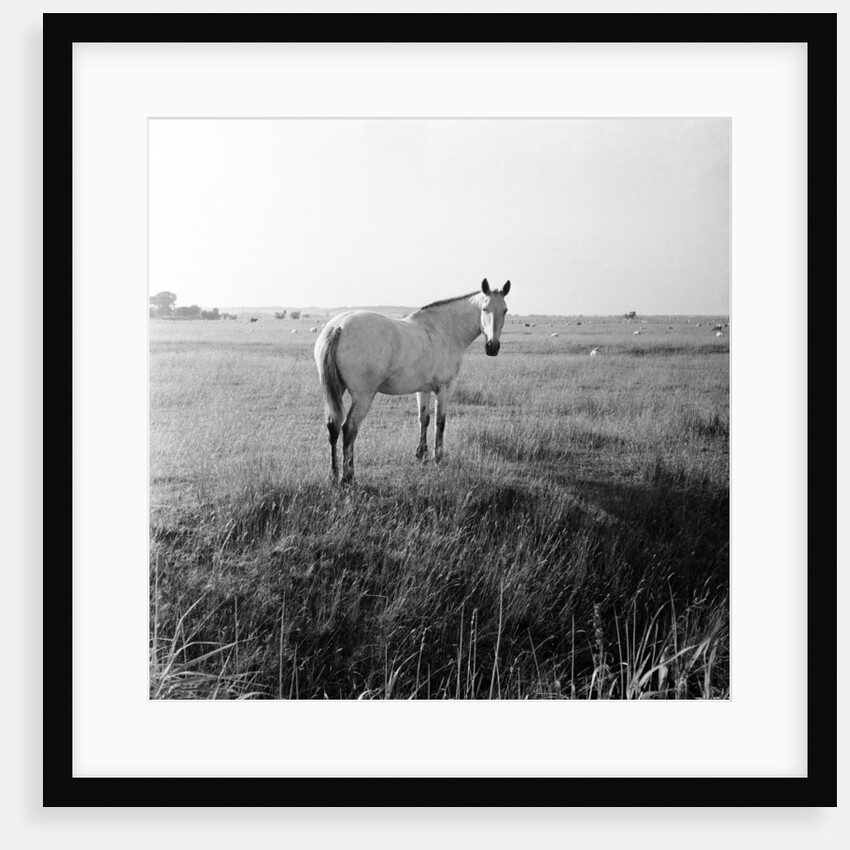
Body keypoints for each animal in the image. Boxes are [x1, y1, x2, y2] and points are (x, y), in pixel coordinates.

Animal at [314, 278, 511, 483]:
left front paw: (421, 454)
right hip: (363, 397)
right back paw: (348, 477)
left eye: (505, 310)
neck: (445, 328)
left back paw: (334, 475)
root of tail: (338, 326)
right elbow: (440, 422)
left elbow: (423, 419)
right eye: (484, 309)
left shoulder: (423, 389)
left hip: (336, 391)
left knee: (333, 426)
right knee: (349, 428)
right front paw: (438, 457)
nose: (492, 347)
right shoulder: (444, 388)